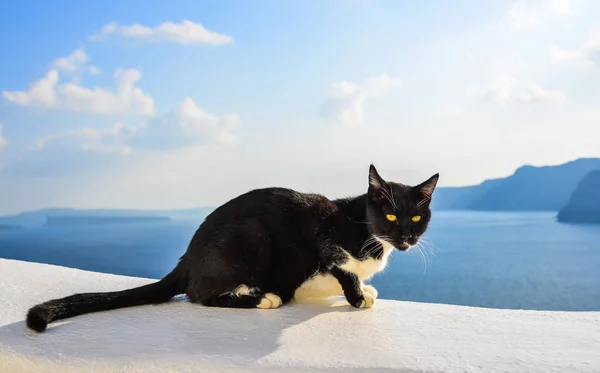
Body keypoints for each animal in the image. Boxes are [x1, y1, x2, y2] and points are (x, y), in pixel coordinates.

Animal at [27, 164, 436, 332]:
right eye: (391, 216)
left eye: (416, 218)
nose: (406, 239)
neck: (365, 230)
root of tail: (188, 256)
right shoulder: (326, 238)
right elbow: (344, 271)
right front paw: (358, 296)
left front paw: (365, 289)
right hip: (252, 235)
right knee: (200, 294)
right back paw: (262, 297)